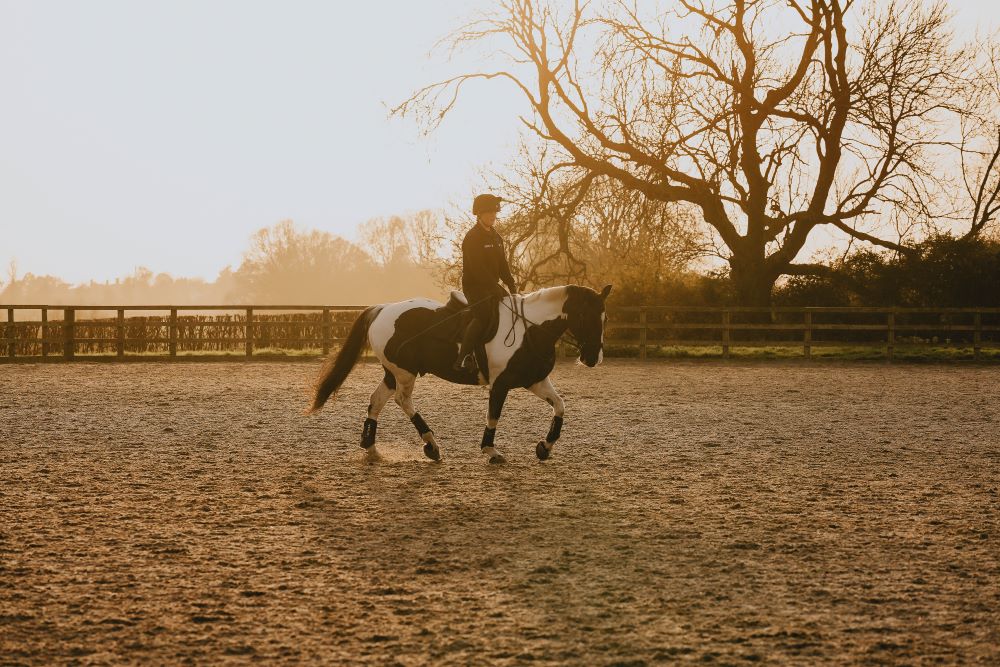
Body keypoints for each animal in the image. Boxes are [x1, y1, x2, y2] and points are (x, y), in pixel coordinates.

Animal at [308, 284, 612, 464]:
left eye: (604, 317)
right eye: (585, 316)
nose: (592, 359)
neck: (531, 329)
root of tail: (383, 309)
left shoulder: (535, 381)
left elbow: (560, 406)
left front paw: (544, 447)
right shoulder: (500, 384)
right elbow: (493, 415)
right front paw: (490, 450)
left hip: (394, 373)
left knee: (377, 400)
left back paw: (371, 447)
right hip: (405, 374)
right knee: (402, 401)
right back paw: (431, 445)